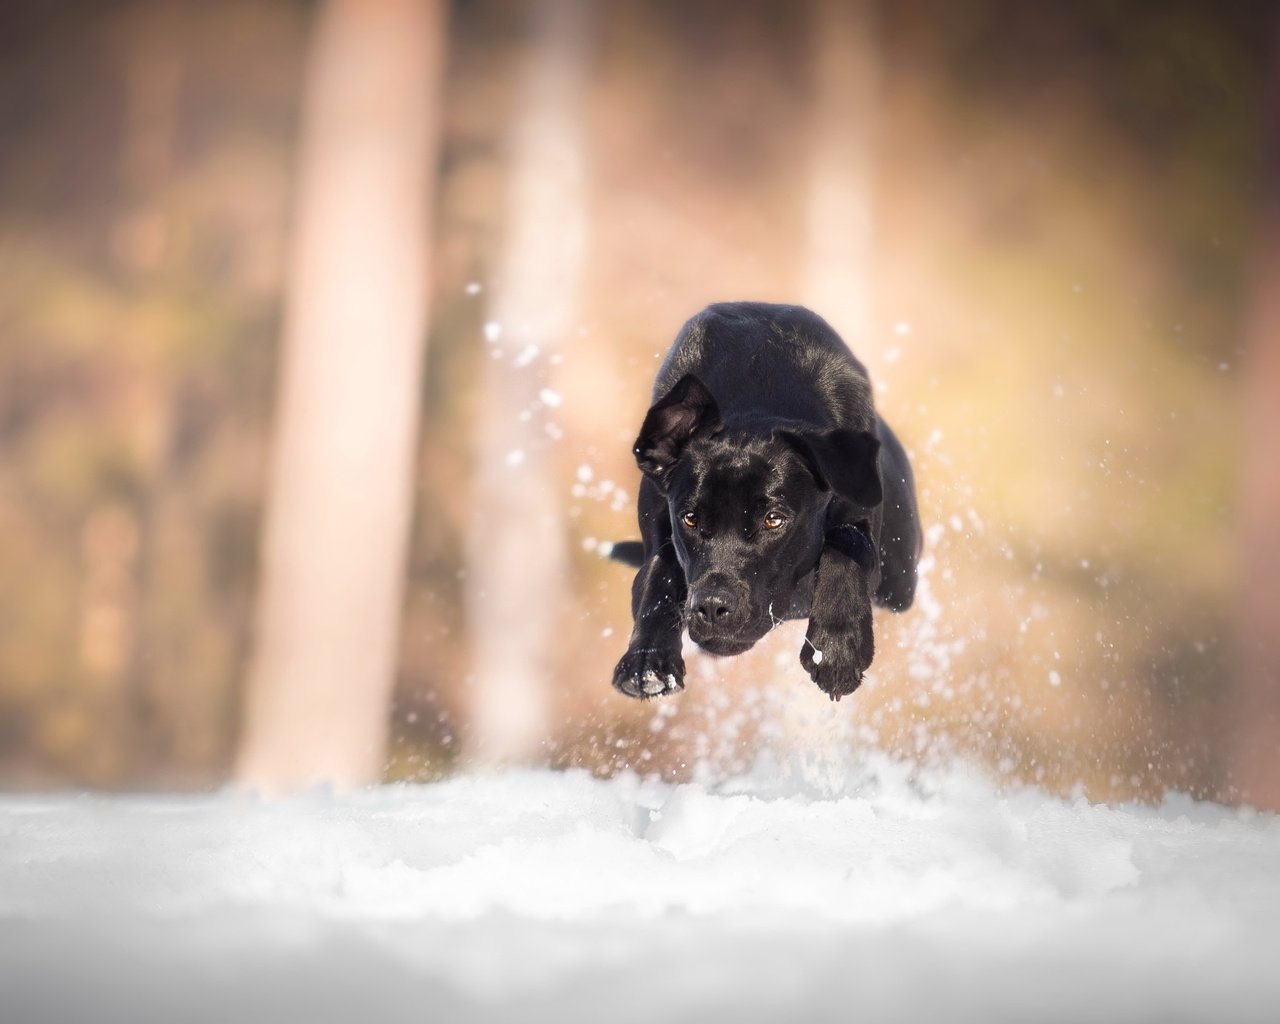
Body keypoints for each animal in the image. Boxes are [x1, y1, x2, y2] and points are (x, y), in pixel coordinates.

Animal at [609, 299, 921, 701]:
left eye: (774, 519)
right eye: (690, 518)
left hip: (900, 580)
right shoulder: (661, 523)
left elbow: (847, 543)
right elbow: (657, 574)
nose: (713, 606)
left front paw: (836, 647)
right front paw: (648, 662)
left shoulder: (860, 511)